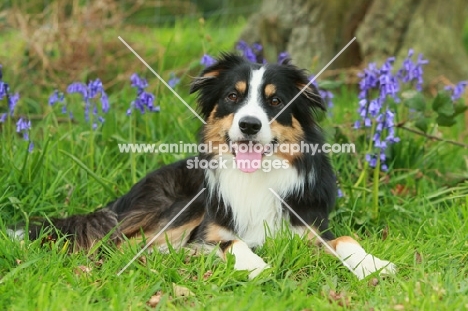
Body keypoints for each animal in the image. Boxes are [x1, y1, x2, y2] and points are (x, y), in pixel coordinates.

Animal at [8, 53, 394, 280]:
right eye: (233, 97)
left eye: (275, 101)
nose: (249, 125)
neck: (255, 177)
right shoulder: (208, 229)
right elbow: (231, 242)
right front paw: (255, 265)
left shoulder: (310, 227)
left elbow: (346, 239)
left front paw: (373, 264)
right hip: (182, 204)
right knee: (124, 247)